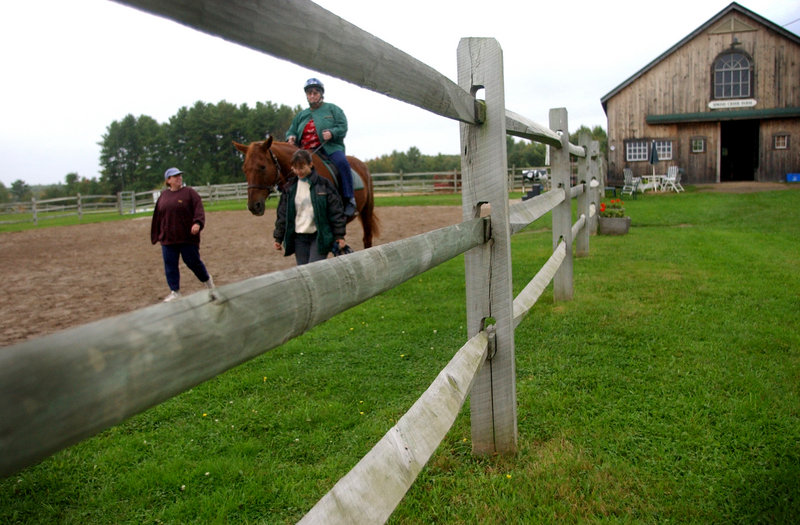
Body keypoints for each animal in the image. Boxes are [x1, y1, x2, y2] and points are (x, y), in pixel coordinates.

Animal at [233, 136, 380, 249]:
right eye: (244, 169)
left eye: (262, 167)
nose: (253, 206)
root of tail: (362, 164)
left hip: (367, 211)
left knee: (367, 239)